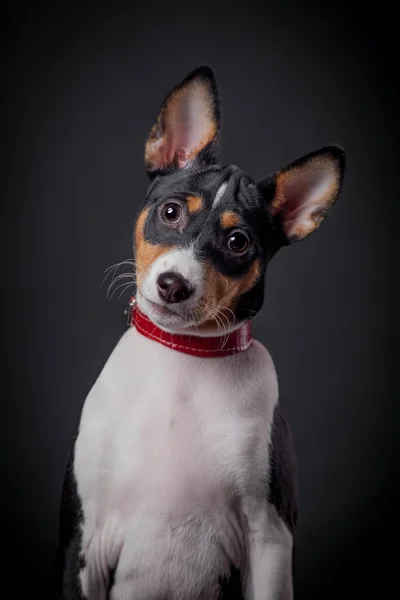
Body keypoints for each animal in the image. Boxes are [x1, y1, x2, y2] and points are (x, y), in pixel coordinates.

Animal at [55, 67, 344, 600]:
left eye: (238, 242)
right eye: (171, 212)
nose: (174, 285)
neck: (183, 359)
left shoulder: (269, 540)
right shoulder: (82, 538)